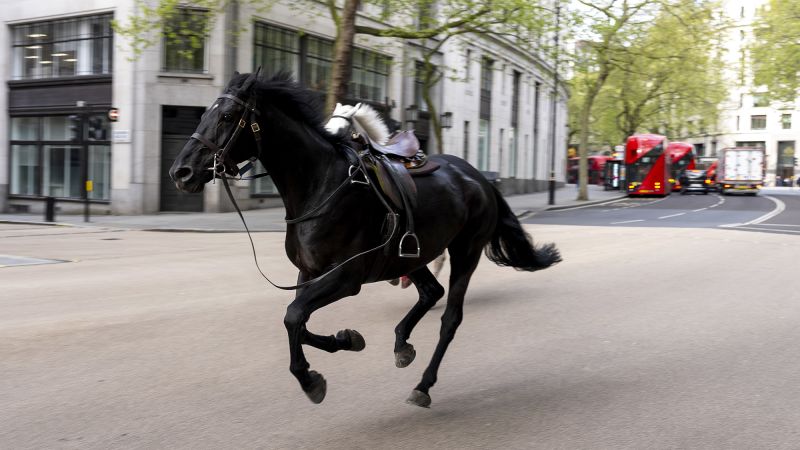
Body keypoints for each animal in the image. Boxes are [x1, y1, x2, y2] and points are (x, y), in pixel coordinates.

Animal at [169, 70, 560, 408]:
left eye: (227, 115)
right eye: (205, 113)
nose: (181, 172)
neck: (320, 186)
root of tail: (479, 177)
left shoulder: (345, 277)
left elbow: (293, 317)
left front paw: (310, 379)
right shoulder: (309, 274)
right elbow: (298, 320)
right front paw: (347, 339)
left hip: (466, 251)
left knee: (450, 318)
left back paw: (423, 385)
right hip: (411, 255)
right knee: (431, 292)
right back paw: (402, 344)